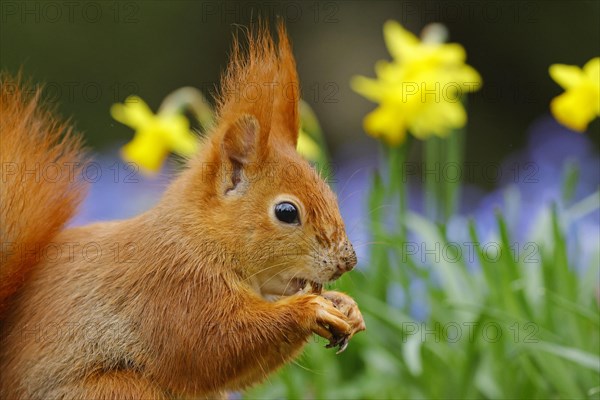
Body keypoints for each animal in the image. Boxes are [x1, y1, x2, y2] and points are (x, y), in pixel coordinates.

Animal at [0, 22, 366, 400]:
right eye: (286, 212)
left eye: (330, 193)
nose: (348, 261)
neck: (199, 235)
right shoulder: (174, 286)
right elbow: (212, 346)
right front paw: (310, 309)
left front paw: (346, 306)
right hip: (119, 389)